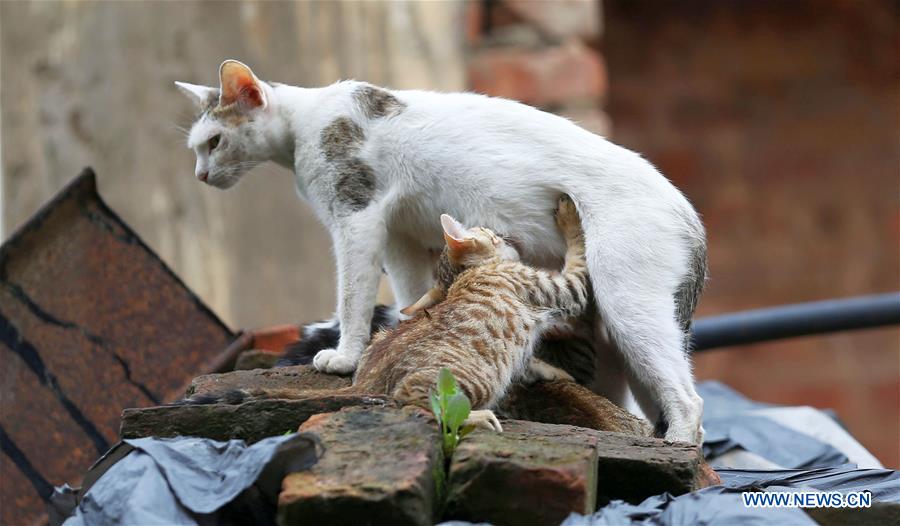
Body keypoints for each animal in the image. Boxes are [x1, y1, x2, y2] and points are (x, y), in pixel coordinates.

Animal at [178, 59, 712, 444]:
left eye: (214, 141)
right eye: (198, 149)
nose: (200, 176)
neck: (306, 121)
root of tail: (689, 213)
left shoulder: (356, 218)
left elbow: (351, 297)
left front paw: (346, 356)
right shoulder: (401, 238)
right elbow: (410, 296)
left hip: (628, 306)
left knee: (689, 401)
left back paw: (678, 445)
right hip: (612, 340)